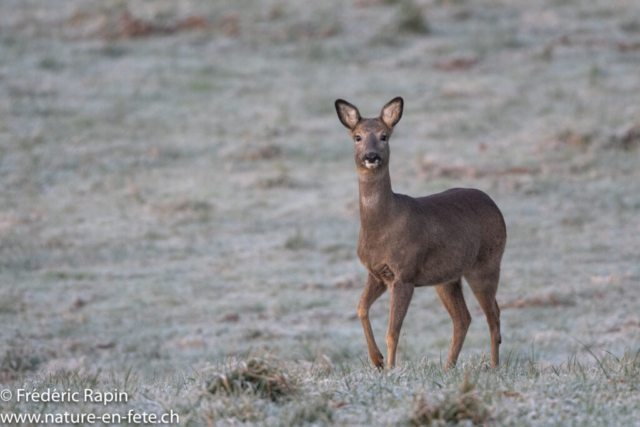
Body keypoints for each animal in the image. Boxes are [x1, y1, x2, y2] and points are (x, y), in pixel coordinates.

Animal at [332, 97, 508, 368]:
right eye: (357, 137)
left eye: (384, 136)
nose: (371, 156)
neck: (381, 227)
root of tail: (495, 206)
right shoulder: (377, 273)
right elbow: (361, 308)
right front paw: (377, 360)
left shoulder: (405, 274)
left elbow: (393, 331)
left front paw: (391, 368)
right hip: (447, 277)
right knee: (463, 318)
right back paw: (449, 367)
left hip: (486, 263)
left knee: (494, 316)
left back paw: (494, 366)